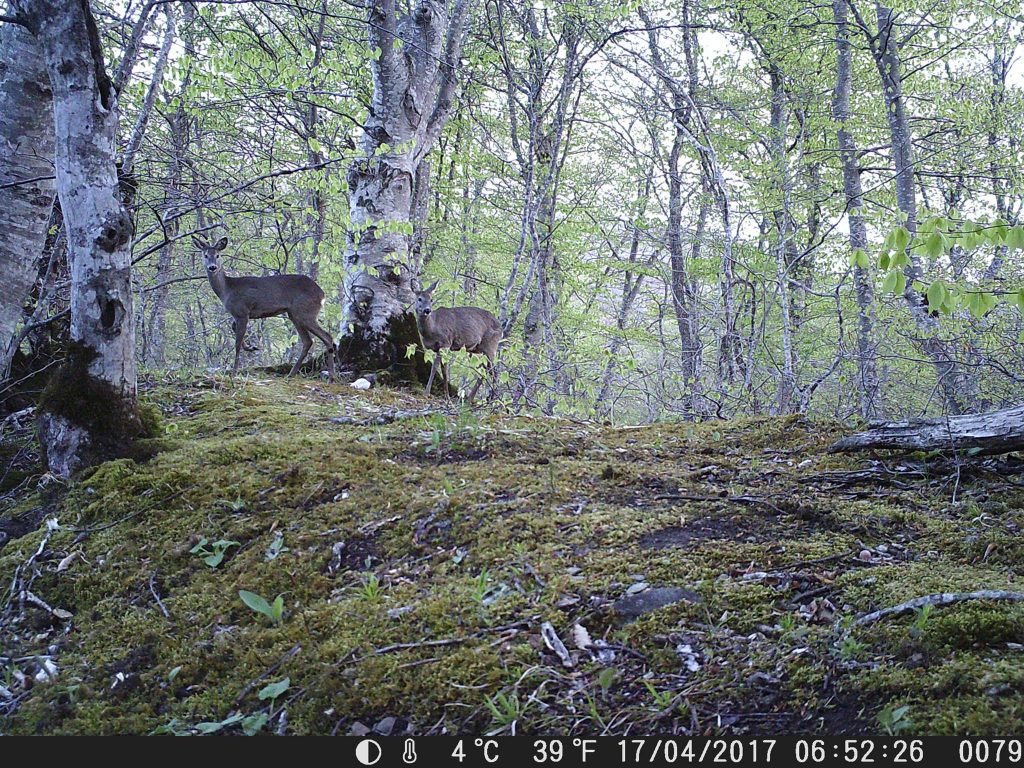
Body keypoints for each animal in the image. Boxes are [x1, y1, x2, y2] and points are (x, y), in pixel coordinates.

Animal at [192, 233, 335, 380]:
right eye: (205, 255)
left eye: (218, 255)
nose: (212, 267)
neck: (227, 290)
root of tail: (322, 294)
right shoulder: (240, 314)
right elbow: (233, 328)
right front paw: (251, 347)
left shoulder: (242, 312)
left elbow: (237, 343)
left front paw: (234, 372)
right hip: (294, 314)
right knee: (308, 341)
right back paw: (292, 373)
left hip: (305, 312)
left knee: (327, 337)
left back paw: (331, 376)